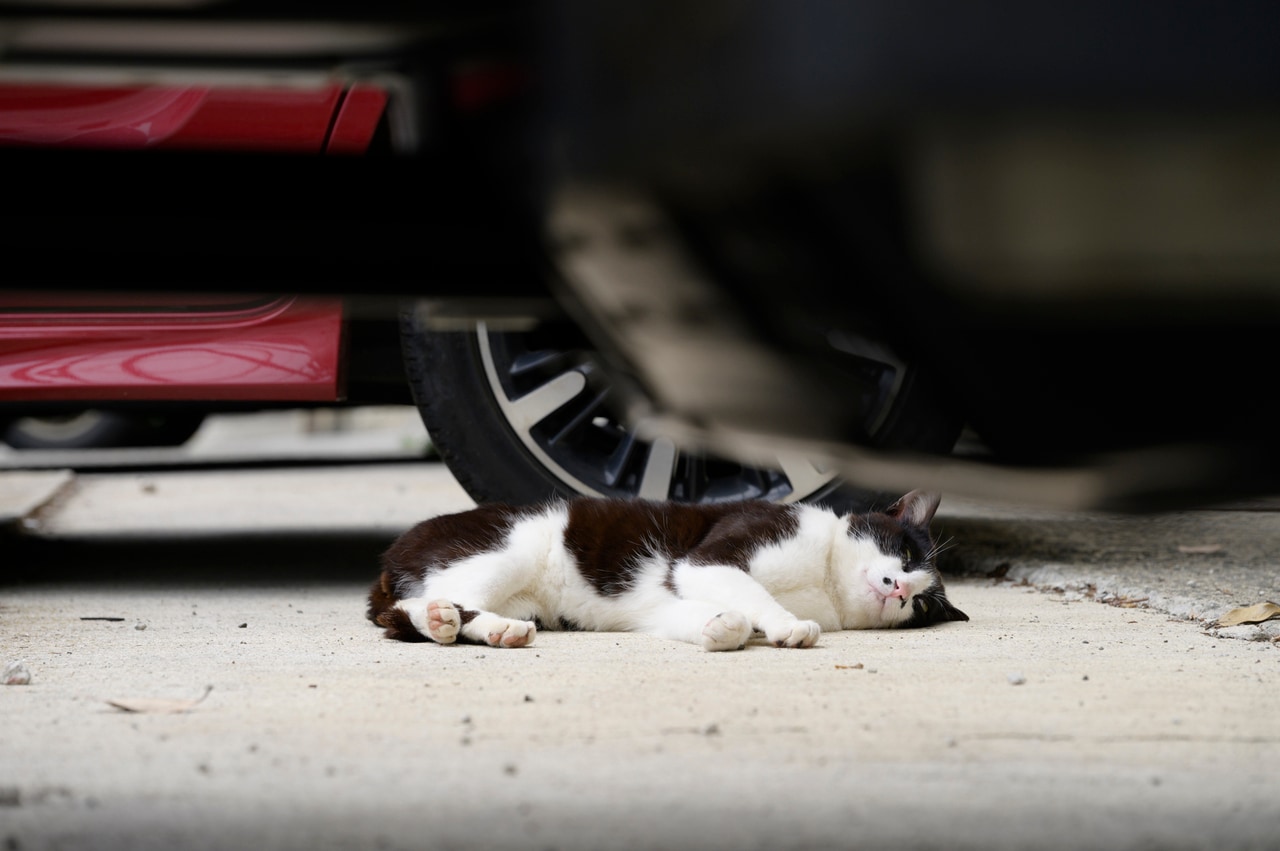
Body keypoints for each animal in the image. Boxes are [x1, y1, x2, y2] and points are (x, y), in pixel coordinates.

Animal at [366, 483, 962, 650]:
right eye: (907, 554)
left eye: (922, 604)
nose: (901, 588)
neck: (826, 583)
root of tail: (390, 556)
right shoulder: (709, 559)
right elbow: (753, 594)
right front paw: (789, 625)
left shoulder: (659, 605)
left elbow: (714, 616)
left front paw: (721, 628)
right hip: (503, 550)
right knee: (416, 603)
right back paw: (443, 617)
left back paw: (496, 630)